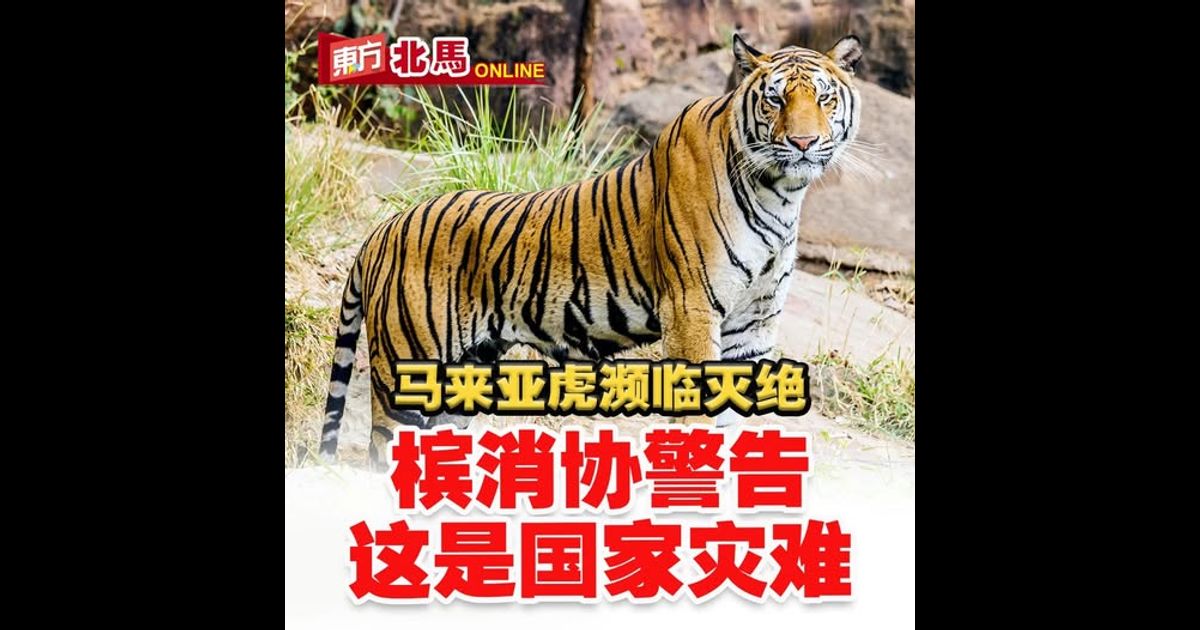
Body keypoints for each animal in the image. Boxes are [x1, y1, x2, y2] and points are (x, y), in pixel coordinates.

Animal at [318, 34, 864, 467]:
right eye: (775, 99)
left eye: (824, 98)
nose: (803, 142)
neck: (781, 193)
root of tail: (382, 229)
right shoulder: (691, 308)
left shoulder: (753, 321)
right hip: (408, 373)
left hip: (460, 378)